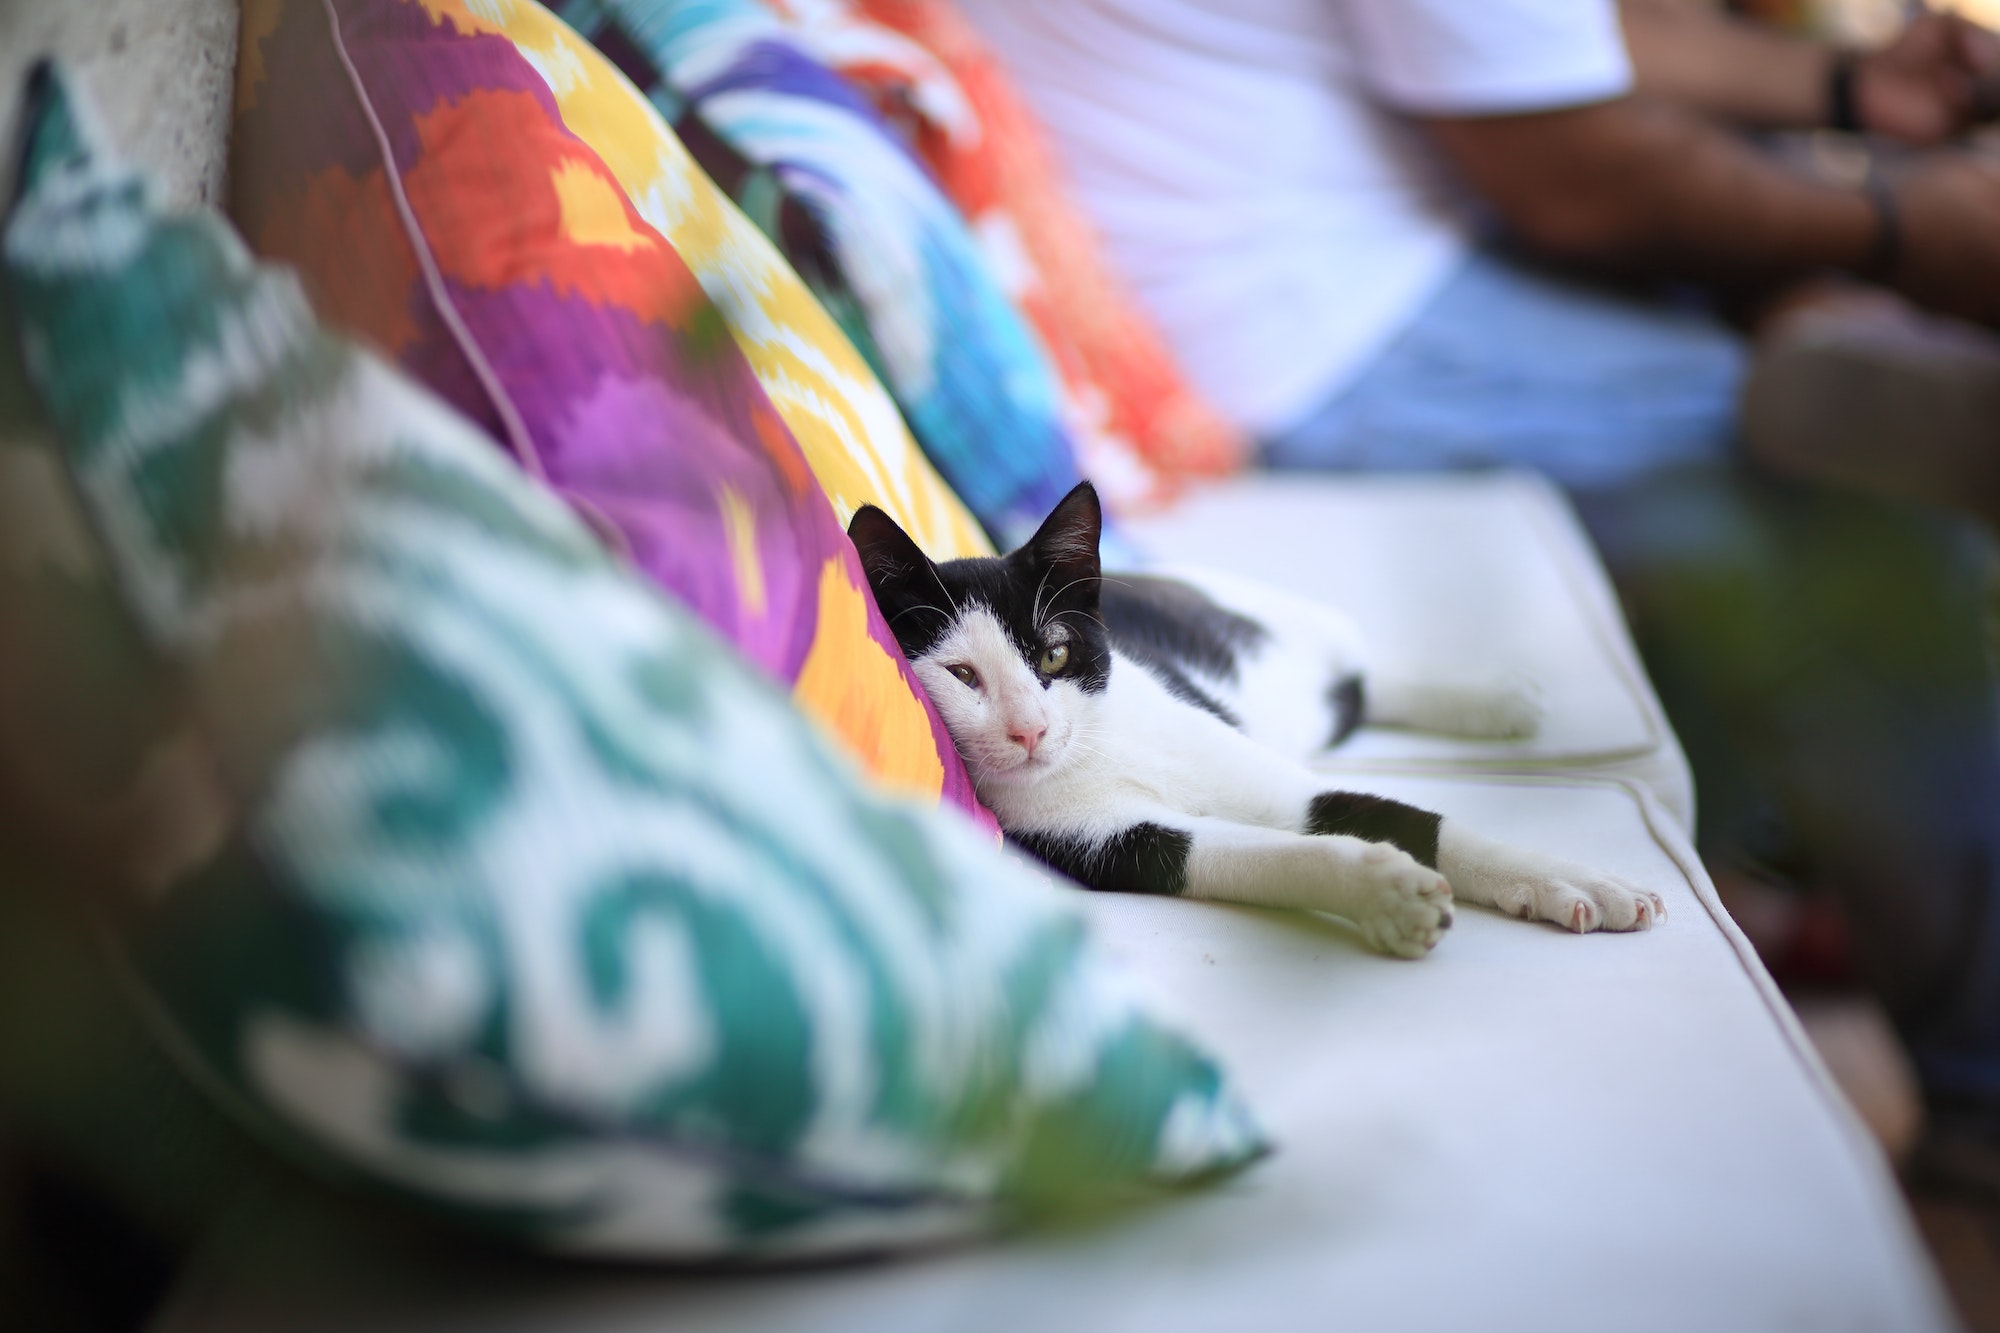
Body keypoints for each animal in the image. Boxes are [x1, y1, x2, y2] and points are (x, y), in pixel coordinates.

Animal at [852, 478, 1664, 956]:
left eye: (1054, 654)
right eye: (961, 675)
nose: (1031, 730)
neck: (1100, 748)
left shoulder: (1260, 769)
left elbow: (1418, 821)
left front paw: (1579, 882)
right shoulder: (1103, 840)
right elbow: (1258, 853)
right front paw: (1384, 892)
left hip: (1266, 623)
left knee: (1353, 664)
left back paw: (1489, 699)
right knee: (1350, 694)